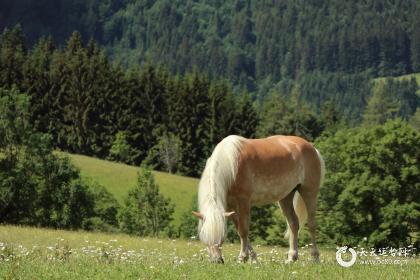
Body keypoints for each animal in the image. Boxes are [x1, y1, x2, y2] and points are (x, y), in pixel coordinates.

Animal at [193, 135, 324, 264]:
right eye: (204, 236)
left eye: (222, 237)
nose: (217, 261)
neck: (231, 164)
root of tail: (313, 148)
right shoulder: (230, 207)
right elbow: (239, 230)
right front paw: (253, 258)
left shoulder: (243, 201)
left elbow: (244, 230)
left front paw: (242, 258)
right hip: (286, 197)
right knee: (294, 224)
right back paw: (291, 258)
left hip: (309, 192)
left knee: (312, 225)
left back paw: (315, 257)